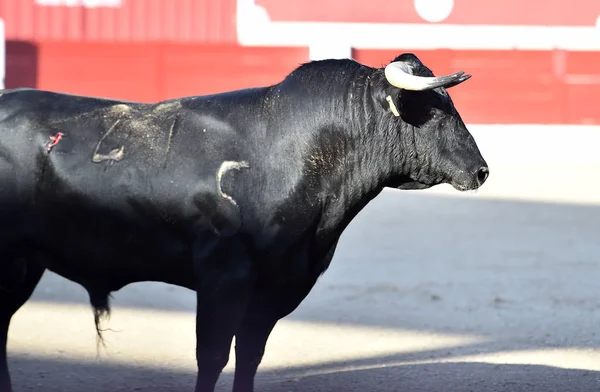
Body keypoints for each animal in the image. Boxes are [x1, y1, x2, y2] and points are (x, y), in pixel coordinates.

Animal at [0, 52, 488, 392]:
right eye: (434, 110)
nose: (481, 170)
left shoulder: (277, 284)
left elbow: (250, 356)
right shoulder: (223, 277)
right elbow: (213, 356)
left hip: (27, 262)